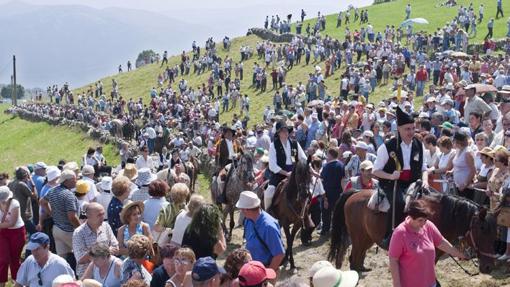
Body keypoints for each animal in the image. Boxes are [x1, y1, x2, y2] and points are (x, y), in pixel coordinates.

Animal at [326, 184, 498, 274]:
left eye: (495, 233)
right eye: (482, 229)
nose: (489, 267)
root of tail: (355, 193)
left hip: (367, 238)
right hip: (358, 237)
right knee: (353, 259)